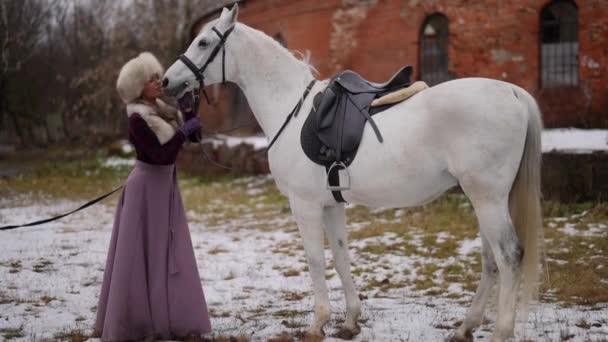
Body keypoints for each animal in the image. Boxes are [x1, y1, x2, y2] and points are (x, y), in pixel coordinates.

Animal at [164, 5, 544, 342]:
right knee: (491, 260)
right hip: (485, 199)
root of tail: (512, 92)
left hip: (487, 198)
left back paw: (501, 332)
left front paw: (317, 324)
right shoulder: (332, 204)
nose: (167, 81)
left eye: (202, 42)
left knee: (508, 256)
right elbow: (341, 256)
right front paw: (349, 321)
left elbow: (316, 260)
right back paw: (465, 328)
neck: (290, 107)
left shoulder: (304, 205)